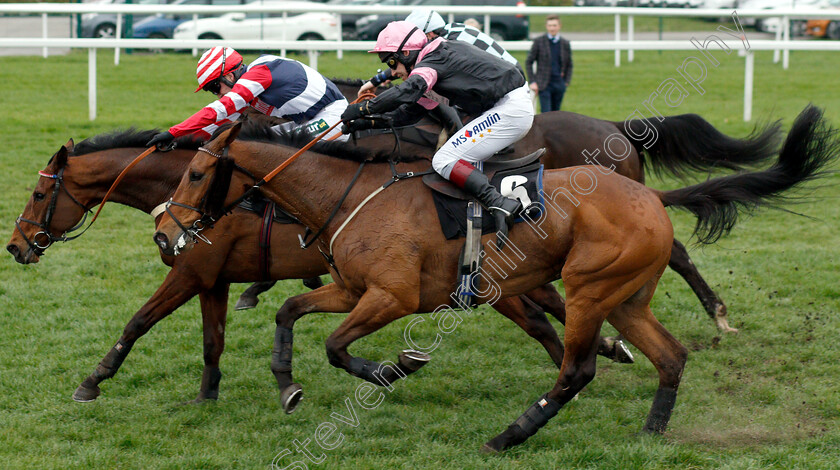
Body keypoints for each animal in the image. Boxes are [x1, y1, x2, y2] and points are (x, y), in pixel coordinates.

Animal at [4, 127, 624, 404]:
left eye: (38, 194)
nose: (16, 246)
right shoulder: (213, 279)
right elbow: (216, 338)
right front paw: (211, 393)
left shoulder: (189, 272)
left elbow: (137, 322)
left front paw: (93, 380)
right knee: (548, 310)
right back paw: (602, 354)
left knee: (543, 317)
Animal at [149, 104, 832, 450]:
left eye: (193, 174)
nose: (163, 233)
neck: (348, 194)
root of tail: (650, 199)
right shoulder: (351, 288)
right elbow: (291, 313)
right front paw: (287, 383)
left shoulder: (392, 296)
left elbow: (338, 346)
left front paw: (395, 368)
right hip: (626, 297)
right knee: (669, 355)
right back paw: (652, 431)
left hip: (591, 288)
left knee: (577, 367)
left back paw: (510, 435)